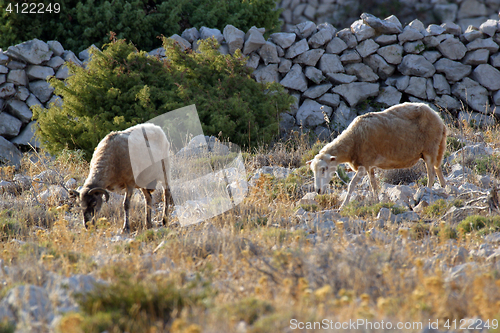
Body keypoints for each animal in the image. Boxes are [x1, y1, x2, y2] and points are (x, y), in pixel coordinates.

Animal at [306, 102, 448, 209]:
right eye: (313, 170)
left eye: (324, 169)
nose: (318, 191)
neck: (353, 141)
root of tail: (439, 119)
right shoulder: (369, 167)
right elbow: (373, 185)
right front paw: (377, 201)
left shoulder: (364, 165)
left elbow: (351, 184)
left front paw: (343, 206)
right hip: (435, 149)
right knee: (438, 169)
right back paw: (445, 189)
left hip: (430, 149)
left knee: (431, 174)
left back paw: (426, 192)